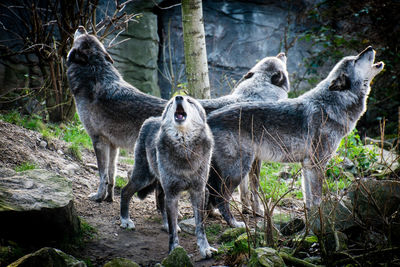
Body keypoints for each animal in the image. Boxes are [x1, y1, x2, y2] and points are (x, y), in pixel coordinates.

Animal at [67, 25, 290, 205]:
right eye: (86, 35)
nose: (80, 26)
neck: (96, 77)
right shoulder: (112, 145)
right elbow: (111, 176)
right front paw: (107, 199)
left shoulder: (98, 141)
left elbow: (102, 175)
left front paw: (98, 197)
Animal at [119, 95, 217, 258]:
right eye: (171, 103)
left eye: (190, 101)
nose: (178, 97)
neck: (184, 149)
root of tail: (152, 119)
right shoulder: (172, 193)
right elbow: (173, 231)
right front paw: (175, 250)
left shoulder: (198, 191)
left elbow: (200, 225)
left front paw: (205, 249)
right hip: (143, 178)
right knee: (125, 191)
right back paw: (125, 220)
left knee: (159, 198)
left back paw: (164, 224)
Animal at [206, 46, 384, 228]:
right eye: (355, 60)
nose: (370, 47)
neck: (329, 105)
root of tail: (210, 118)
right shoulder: (317, 165)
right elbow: (317, 199)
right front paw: (321, 224)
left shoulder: (306, 166)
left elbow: (308, 198)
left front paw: (311, 220)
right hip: (238, 170)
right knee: (220, 198)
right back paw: (234, 224)